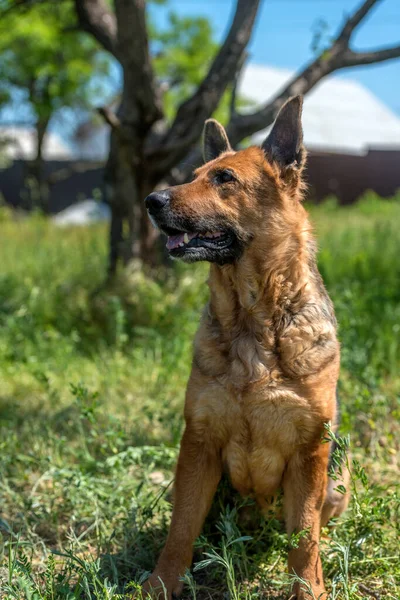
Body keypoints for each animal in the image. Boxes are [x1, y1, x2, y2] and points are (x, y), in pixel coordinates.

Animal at [142, 96, 348, 596]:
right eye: (195, 174)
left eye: (224, 179)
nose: (151, 201)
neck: (251, 324)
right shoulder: (198, 443)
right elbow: (180, 531)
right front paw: (161, 585)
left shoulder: (310, 451)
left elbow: (304, 536)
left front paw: (309, 589)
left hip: (338, 479)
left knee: (318, 523)